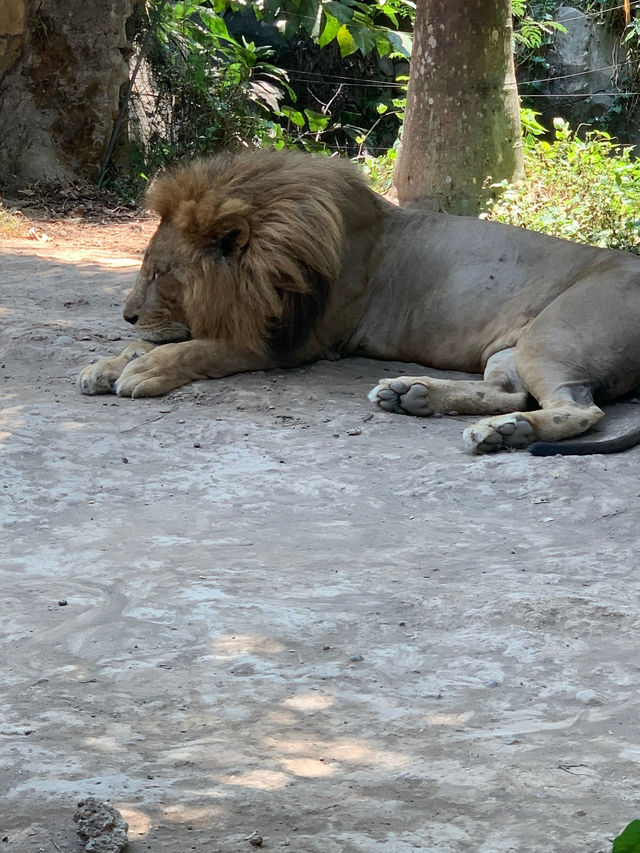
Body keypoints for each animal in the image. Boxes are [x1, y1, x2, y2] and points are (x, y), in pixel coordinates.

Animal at [79, 147, 640, 456]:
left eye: (162, 273)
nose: (127, 314)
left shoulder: (292, 342)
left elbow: (198, 349)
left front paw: (144, 370)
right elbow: (159, 343)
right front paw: (105, 365)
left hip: (550, 337)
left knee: (578, 410)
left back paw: (501, 431)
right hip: (511, 350)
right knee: (513, 392)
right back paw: (416, 397)